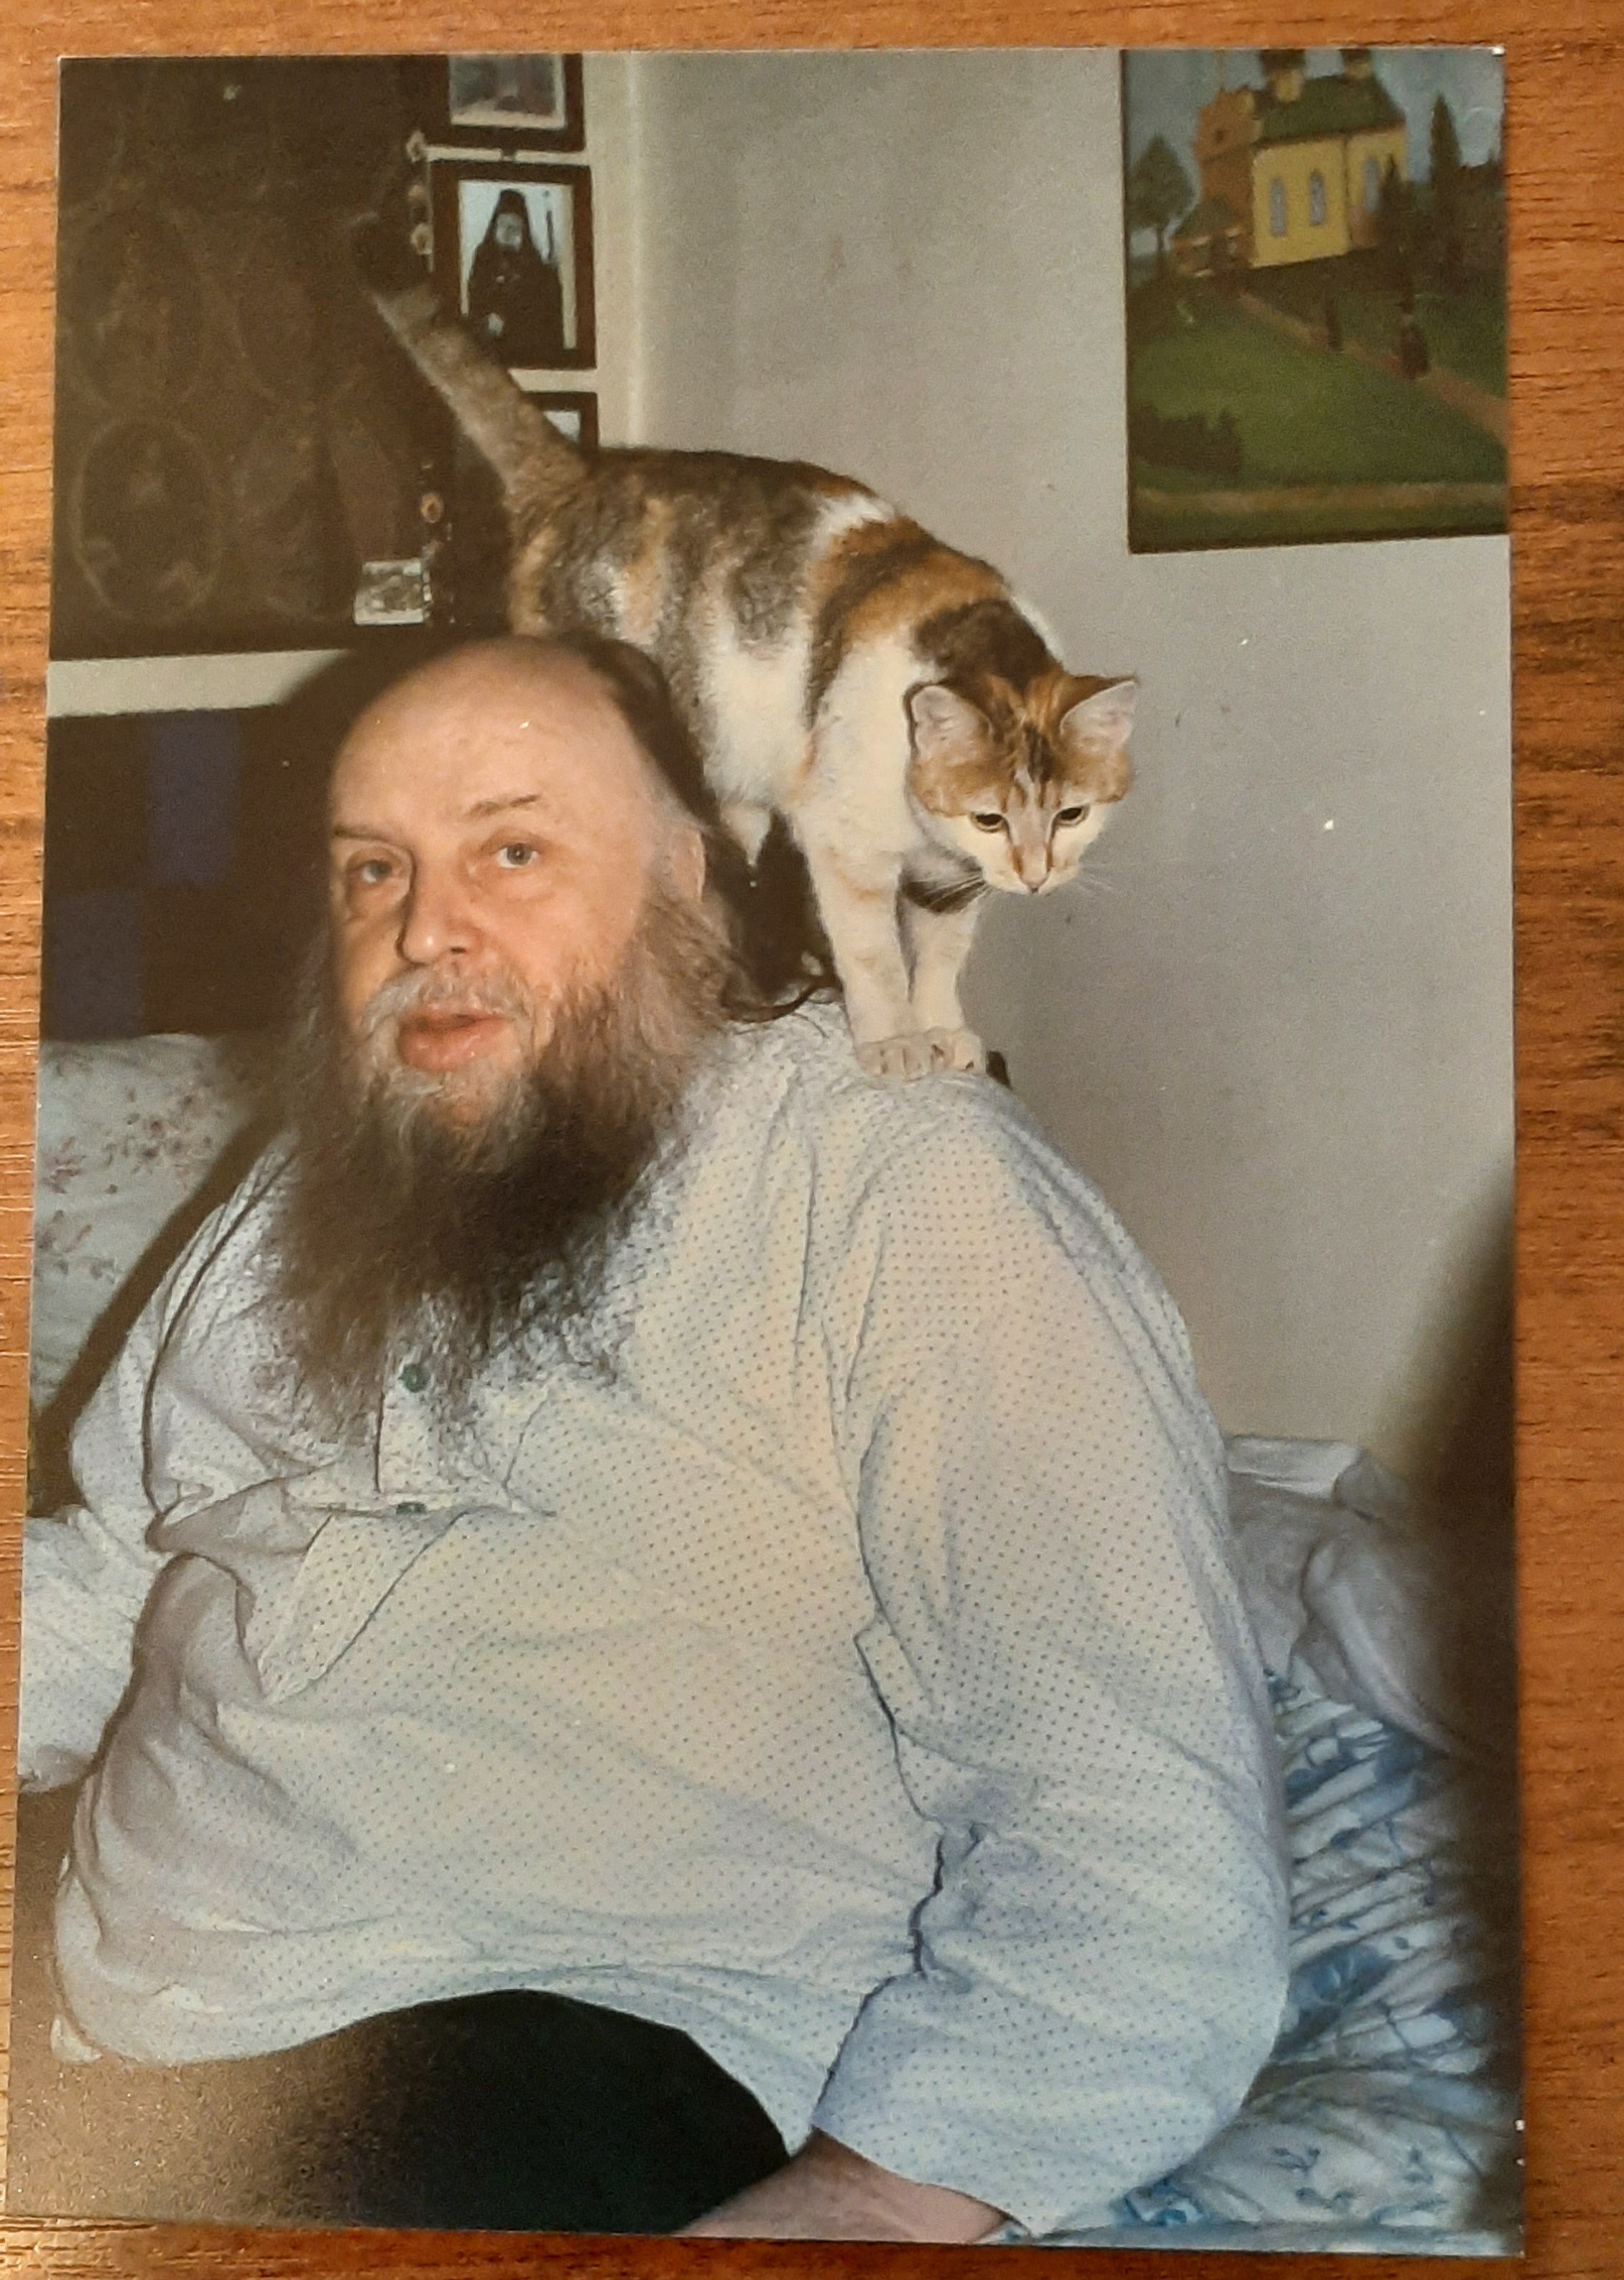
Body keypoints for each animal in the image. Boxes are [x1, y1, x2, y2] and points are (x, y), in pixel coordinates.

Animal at [356, 230, 1137, 1081]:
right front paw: (893, 1041)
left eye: (1072, 812)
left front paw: (944, 1032)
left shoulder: (950, 880)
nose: (1036, 876)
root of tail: (578, 472)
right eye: (991, 817)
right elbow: (874, 957)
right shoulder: (844, 846)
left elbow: (939, 953)